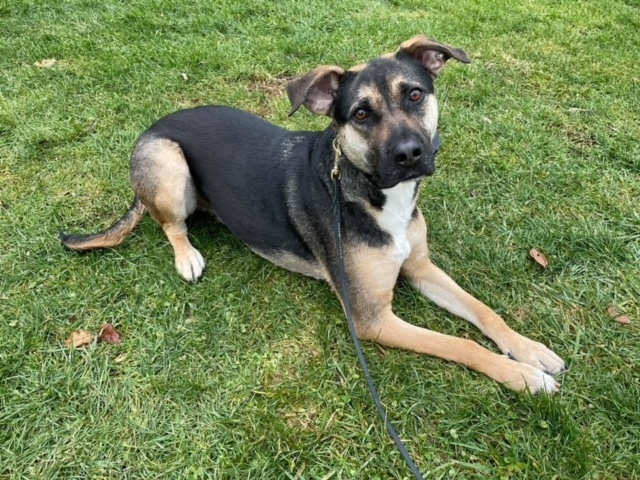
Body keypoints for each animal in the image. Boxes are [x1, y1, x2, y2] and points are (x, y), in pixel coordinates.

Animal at [61, 35, 566, 393]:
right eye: (361, 114)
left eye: (415, 95)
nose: (410, 154)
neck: (372, 194)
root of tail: (156, 124)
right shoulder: (371, 318)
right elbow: (460, 343)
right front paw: (522, 377)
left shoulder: (420, 267)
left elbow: (484, 312)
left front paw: (530, 351)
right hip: (169, 166)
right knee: (170, 223)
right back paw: (186, 256)